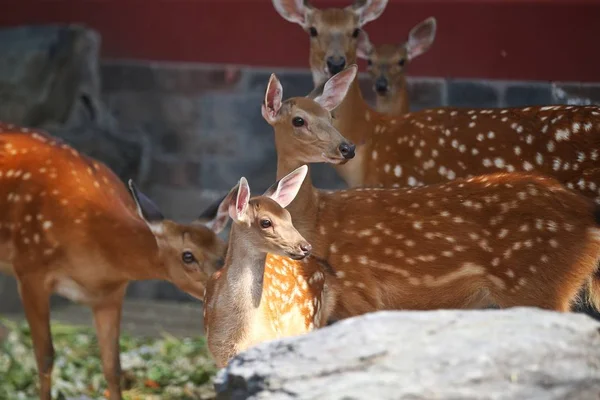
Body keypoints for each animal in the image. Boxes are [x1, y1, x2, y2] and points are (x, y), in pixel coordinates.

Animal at [0, 122, 227, 400]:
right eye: (188, 255)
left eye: (224, 248)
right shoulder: (30, 269)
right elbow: (45, 357)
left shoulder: (111, 294)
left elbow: (112, 367)